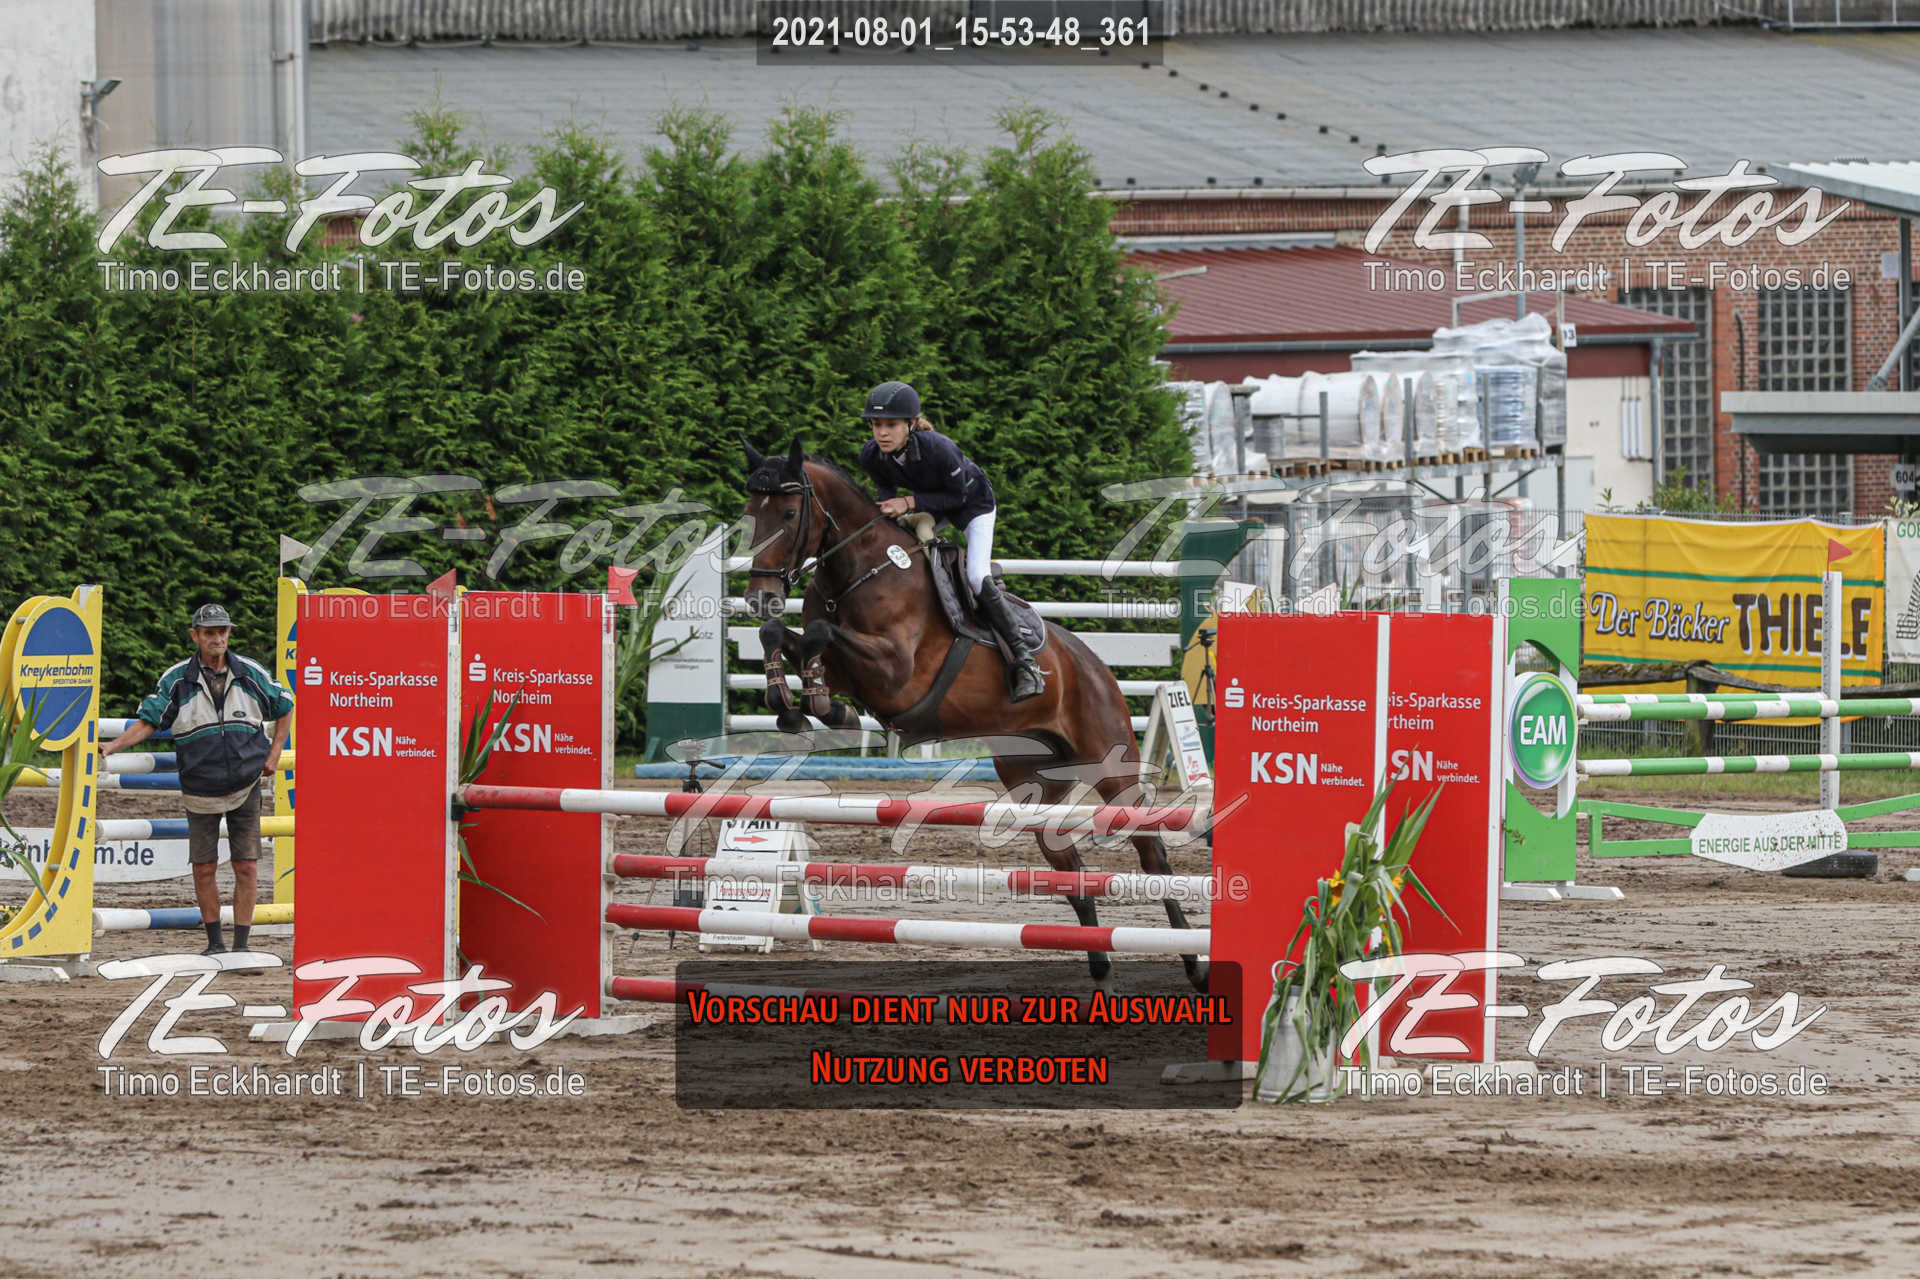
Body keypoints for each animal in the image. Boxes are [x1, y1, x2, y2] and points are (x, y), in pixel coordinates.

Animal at [737, 438, 1205, 989]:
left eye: (790, 513)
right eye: (751, 513)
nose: (759, 597)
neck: (856, 572)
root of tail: (1094, 664)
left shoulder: (895, 672)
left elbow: (818, 634)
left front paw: (815, 705)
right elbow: (785, 636)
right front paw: (806, 709)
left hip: (1112, 768)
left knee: (1151, 852)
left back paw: (1193, 967)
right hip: (1034, 786)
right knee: (1069, 866)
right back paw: (1100, 971)